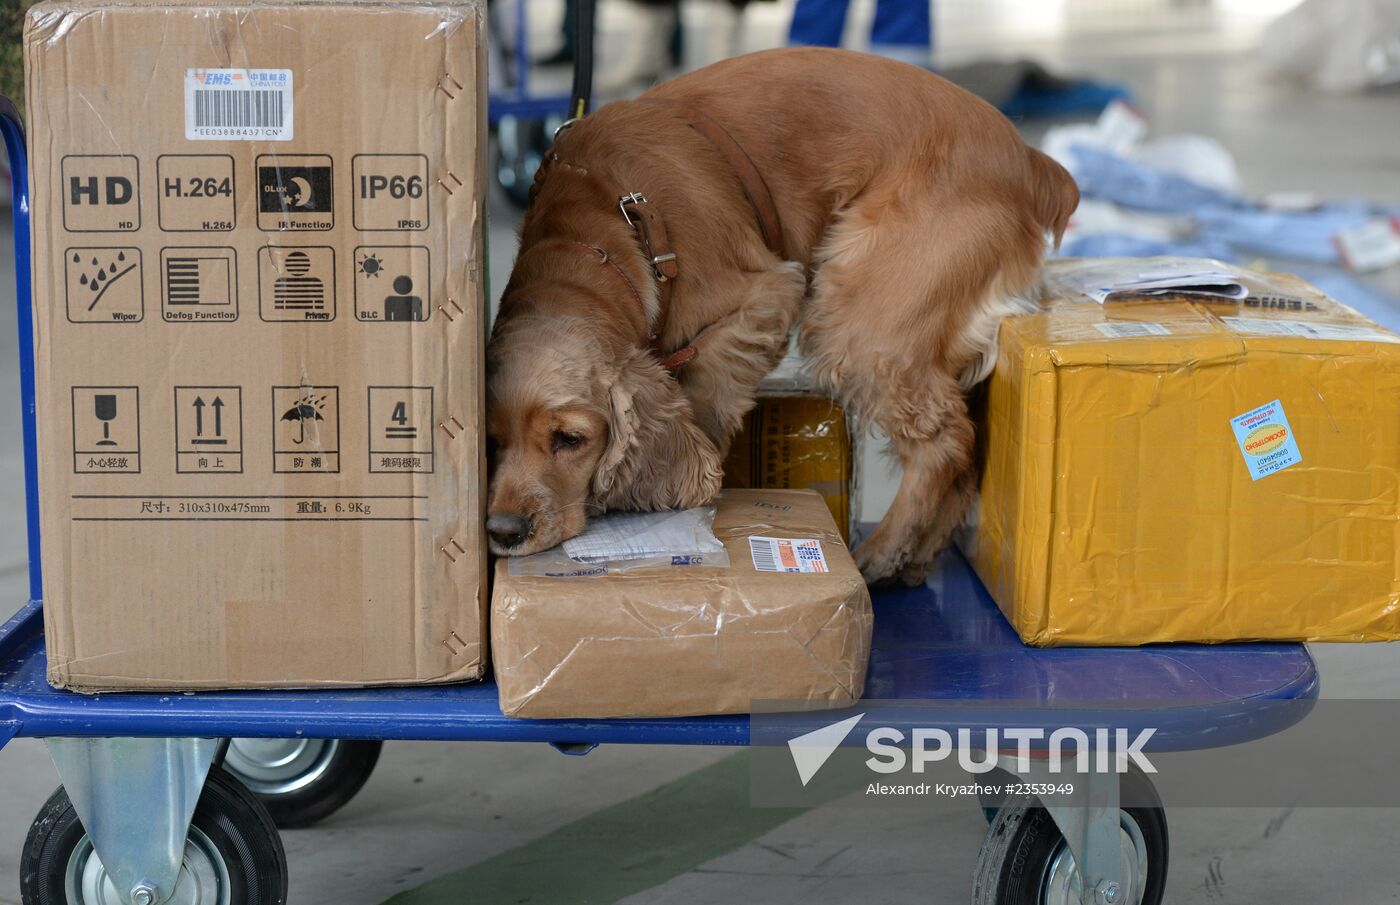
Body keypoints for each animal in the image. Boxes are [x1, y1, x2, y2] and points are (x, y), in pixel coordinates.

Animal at [487, 47, 1075, 588]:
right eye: (490, 440)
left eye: (570, 440)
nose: (504, 530)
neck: (593, 242)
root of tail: (1029, 159)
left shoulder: (765, 295)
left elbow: (705, 395)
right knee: (968, 450)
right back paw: (918, 554)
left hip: (857, 316)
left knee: (945, 440)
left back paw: (882, 552)